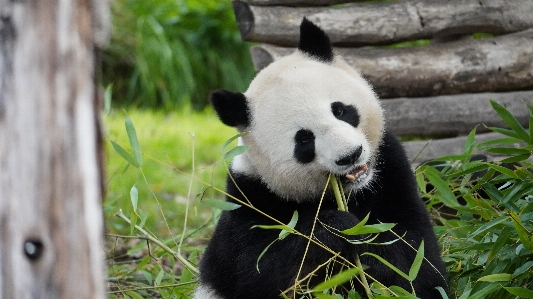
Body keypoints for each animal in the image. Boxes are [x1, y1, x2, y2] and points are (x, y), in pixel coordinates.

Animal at [193, 18, 446, 299]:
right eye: (304, 140)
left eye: (340, 110)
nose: (350, 155)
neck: (349, 193)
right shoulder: (250, 199)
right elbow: (260, 270)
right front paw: (338, 228)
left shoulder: (391, 171)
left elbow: (415, 261)